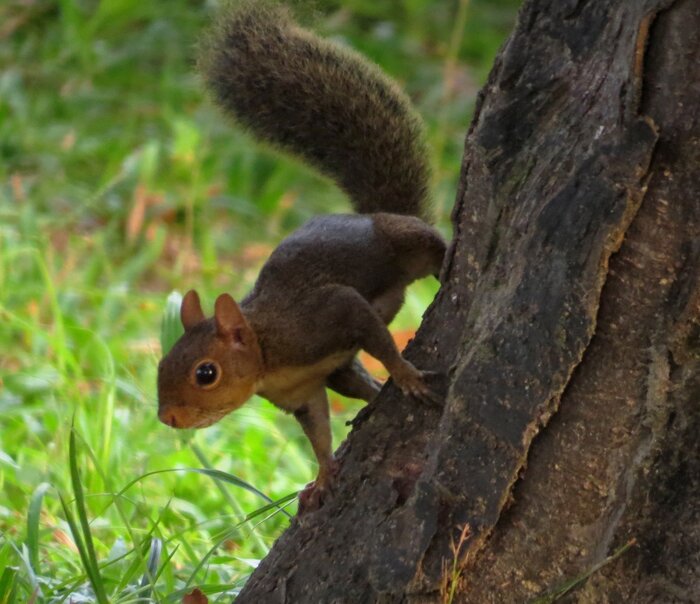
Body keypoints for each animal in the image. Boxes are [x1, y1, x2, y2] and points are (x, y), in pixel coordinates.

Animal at [157, 2, 446, 512]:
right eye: (160, 364)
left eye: (205, 373)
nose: (168, 417)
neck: (268, 352)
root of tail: (369, 215)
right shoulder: (303, 393)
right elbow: (317, 432)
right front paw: (325, 475)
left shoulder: (324, 315)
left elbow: (378, 340)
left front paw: (407, 375)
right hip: (339, 369)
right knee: (354, 383)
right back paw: (370, 402)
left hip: (400, 240)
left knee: (428, 245)